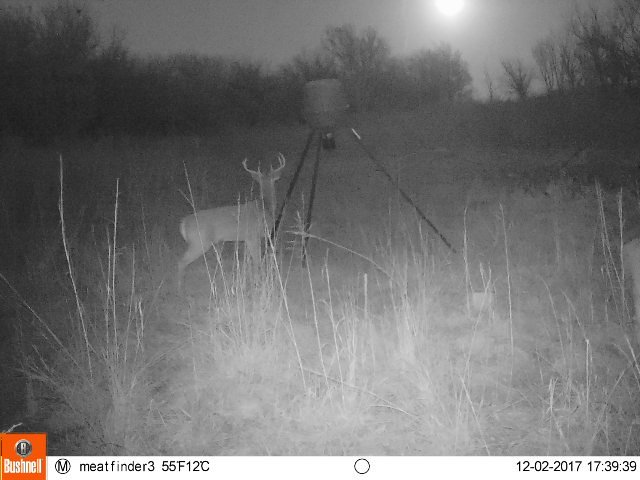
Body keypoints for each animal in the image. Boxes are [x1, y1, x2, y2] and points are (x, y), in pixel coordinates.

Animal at [177, 154, 286, 288]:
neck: (265, 206)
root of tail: (184, 223)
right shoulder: (253, 236)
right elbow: (258, 261)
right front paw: (259, 281)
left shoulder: (248, 239)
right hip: (199, 242)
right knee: (181, 261)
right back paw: (180, 287)